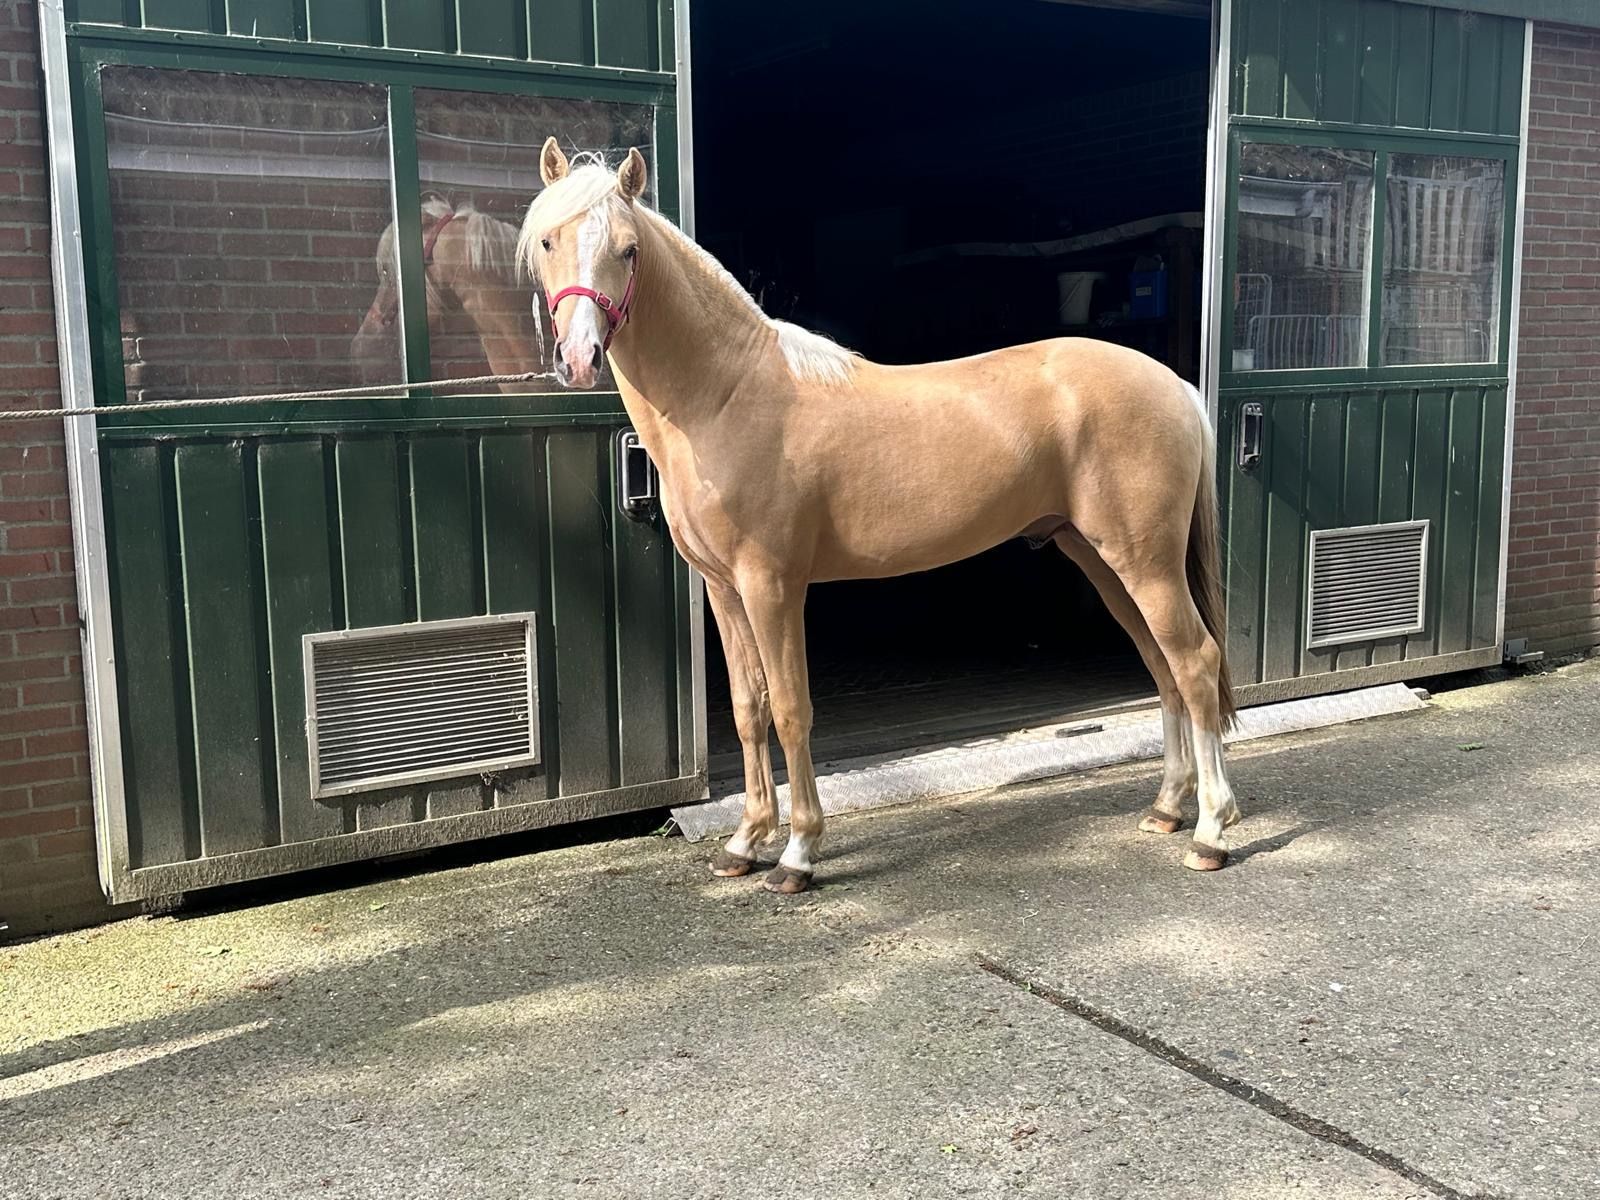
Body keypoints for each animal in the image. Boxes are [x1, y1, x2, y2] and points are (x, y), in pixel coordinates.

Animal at [518, 140, 1241, 893]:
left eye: (628, 249)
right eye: (548, 241)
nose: (578, 357)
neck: (726, 395)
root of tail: (1174, 384)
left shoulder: (773, 587)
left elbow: (791, 709)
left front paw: (798, 853)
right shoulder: (724, 589)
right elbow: (748, 709)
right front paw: (744, 843)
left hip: (1145, 562)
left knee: (1194, 663)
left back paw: (1212, 832)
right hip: (1101, 559)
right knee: (1162, 667)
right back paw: (1167, 809)